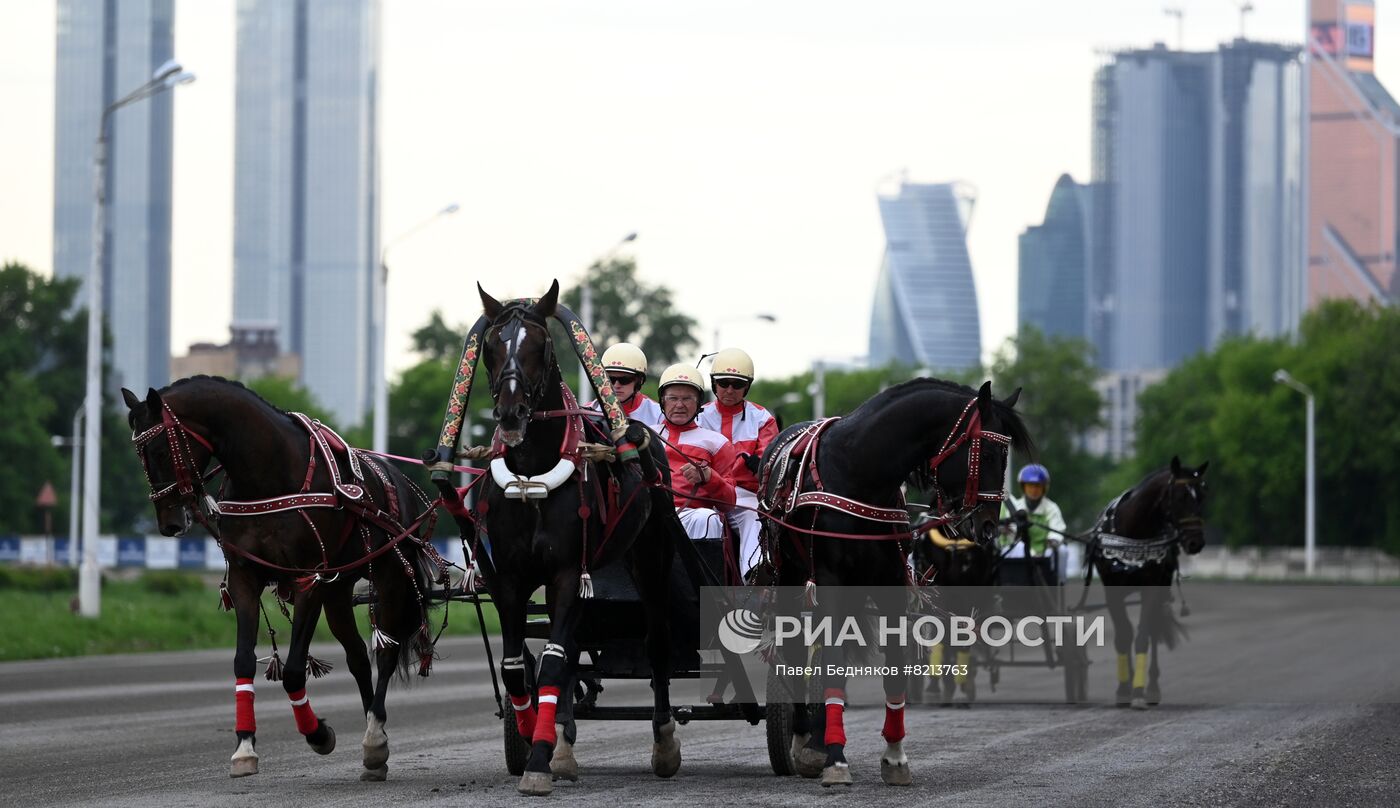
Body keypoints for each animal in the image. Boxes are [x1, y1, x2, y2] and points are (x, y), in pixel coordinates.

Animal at [124, 378, 436, 784]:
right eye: (140, 455)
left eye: (161, 449)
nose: (169, 523)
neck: (268, 477)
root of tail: (397, 478)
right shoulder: (245, 577)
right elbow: (243, 661)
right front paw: (244, 746)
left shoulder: (310, 578)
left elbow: (292, 671)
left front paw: (318, 733)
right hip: (339, 591)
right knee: (356, 656)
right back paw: (374, 741)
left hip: (391, 575)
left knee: (386, 651)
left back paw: (375, 736)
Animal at [473, 281, 686, 795]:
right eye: (491, 346)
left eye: (538, 345)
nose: (511, 414)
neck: (531, 477)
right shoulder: (509, 578)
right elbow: (518, 668)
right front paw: (534, 735)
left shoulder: (568, 572)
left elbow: (552, 661)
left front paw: (537, 762)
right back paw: (563, 743)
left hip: (650, 557)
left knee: (657, 643)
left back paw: (663, 742)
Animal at [761, 380, 1036, 789]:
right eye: (987, 453)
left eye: (1005, 456)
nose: (987, 526)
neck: (859, 477)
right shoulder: (829, 581)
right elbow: (832, 665)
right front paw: (836, 758)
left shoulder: (889, 583)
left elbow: (894, 671)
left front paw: (894, 757)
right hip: (790, 577)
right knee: (795, 650)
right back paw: (804, 736)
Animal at [1086, 456, 1209, 708]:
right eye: (1180, 497)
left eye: (1201, 496)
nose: (1196, 543)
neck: (1132, 533)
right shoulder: (1112, 591)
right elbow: (1123, 635)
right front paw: (1124, 688)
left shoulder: (1151, 589)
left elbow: (1143, 636)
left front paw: (1139, 690)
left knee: (1152, 631)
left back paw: (1151, 687)